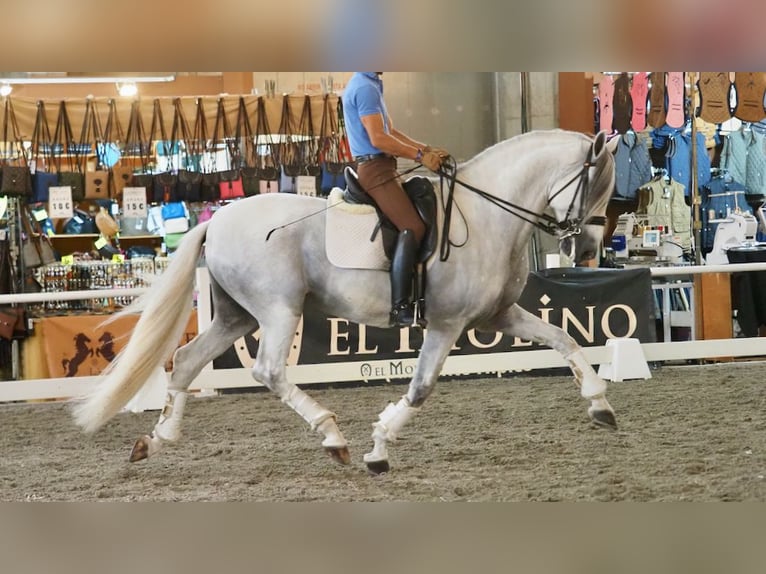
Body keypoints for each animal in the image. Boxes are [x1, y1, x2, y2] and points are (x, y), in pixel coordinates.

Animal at [73, 130, 616, 476]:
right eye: (596, 185)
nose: (588, 249)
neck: (486, 216)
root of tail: (218, 219)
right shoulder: (447, 324)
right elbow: (420, 389)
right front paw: (378, 450)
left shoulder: (500, 314)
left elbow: (565, 340)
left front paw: (601, 406)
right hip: (278, 311)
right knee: (268, 370)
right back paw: (332, 437)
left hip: (237, 316)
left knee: (185, 361)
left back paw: (155, 440)